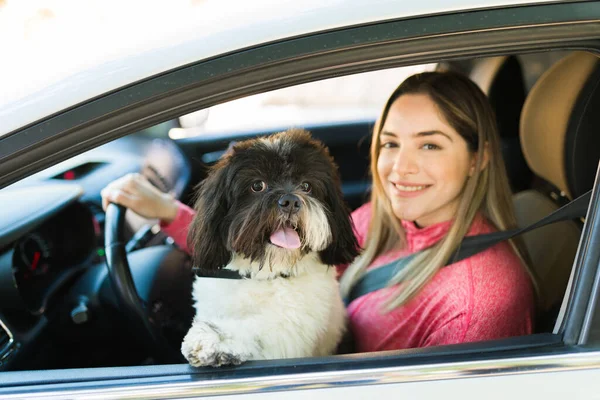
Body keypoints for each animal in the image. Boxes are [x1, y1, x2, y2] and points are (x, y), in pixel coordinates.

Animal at [182, 129, 360, 368]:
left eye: (306, 186)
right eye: (258, 185)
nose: (291, 200)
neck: (262, 272)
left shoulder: (292, 330)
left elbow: (260, 328)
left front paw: (215, 338)